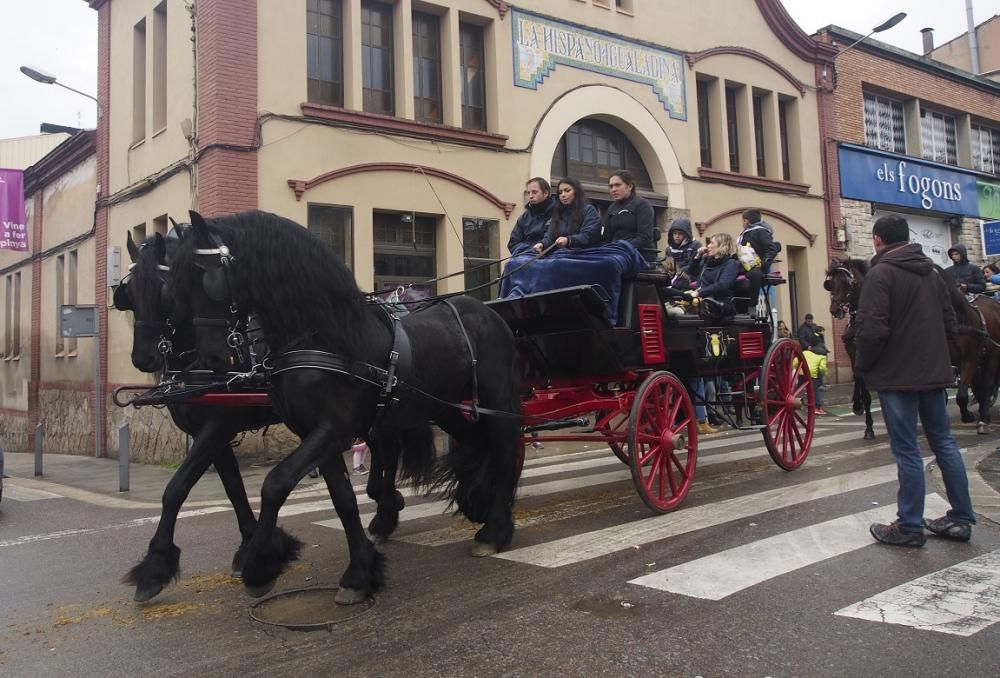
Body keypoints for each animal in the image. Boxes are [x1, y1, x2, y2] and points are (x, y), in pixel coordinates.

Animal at [114, 232, 298, 600]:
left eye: (165, 291)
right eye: (127, 294)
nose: (143, 358)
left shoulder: (218, 427)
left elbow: (175, 489)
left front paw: (155, 566)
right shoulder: (211, 433)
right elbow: (233, 488)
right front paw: (255, 545)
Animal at [167, 210, 520, 604]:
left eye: (205, 278)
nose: (212, 359)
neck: (322, 337)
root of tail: (485, 312)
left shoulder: (333, 430)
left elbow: (275, 484)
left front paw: (260, 566)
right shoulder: (319, 434)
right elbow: (343, 499)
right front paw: (360, 572)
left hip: (496, 398)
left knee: (504, 447)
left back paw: (495, 530)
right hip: (443, 407)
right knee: (477, 444)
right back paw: (476, 502)